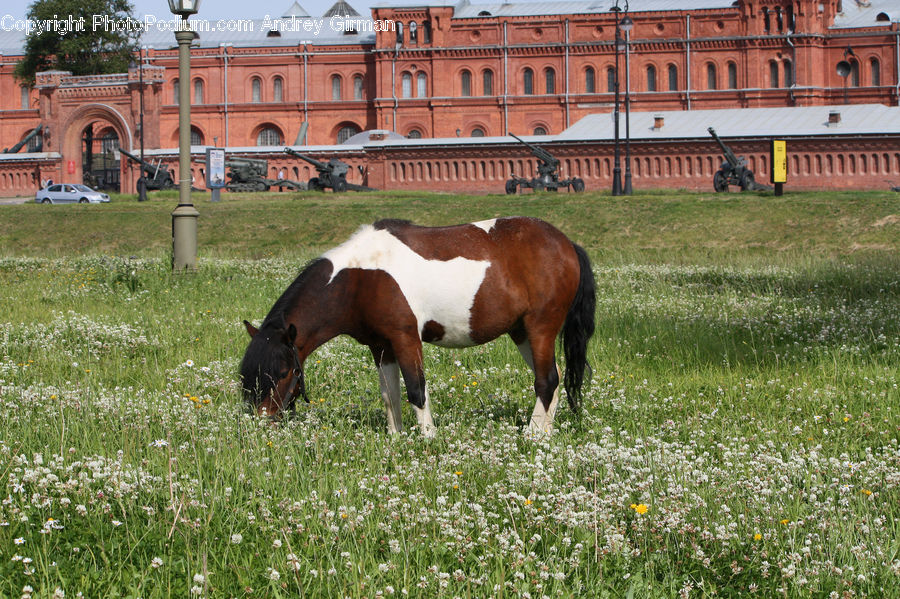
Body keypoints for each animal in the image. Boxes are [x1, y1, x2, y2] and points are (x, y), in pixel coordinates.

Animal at [239, 217, 596, 436]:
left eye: (284, 372)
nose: (262, 423)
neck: (359, 278)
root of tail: (567, 244)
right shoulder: (381, 346)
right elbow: (390, 394)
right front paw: (395, 436)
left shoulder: (405, 337)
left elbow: (416, 389)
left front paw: (428, 438)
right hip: (521, 331)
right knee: (554, 378)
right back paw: (546, 431)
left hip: (540, 328)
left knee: (547, 380)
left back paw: (534, 436)